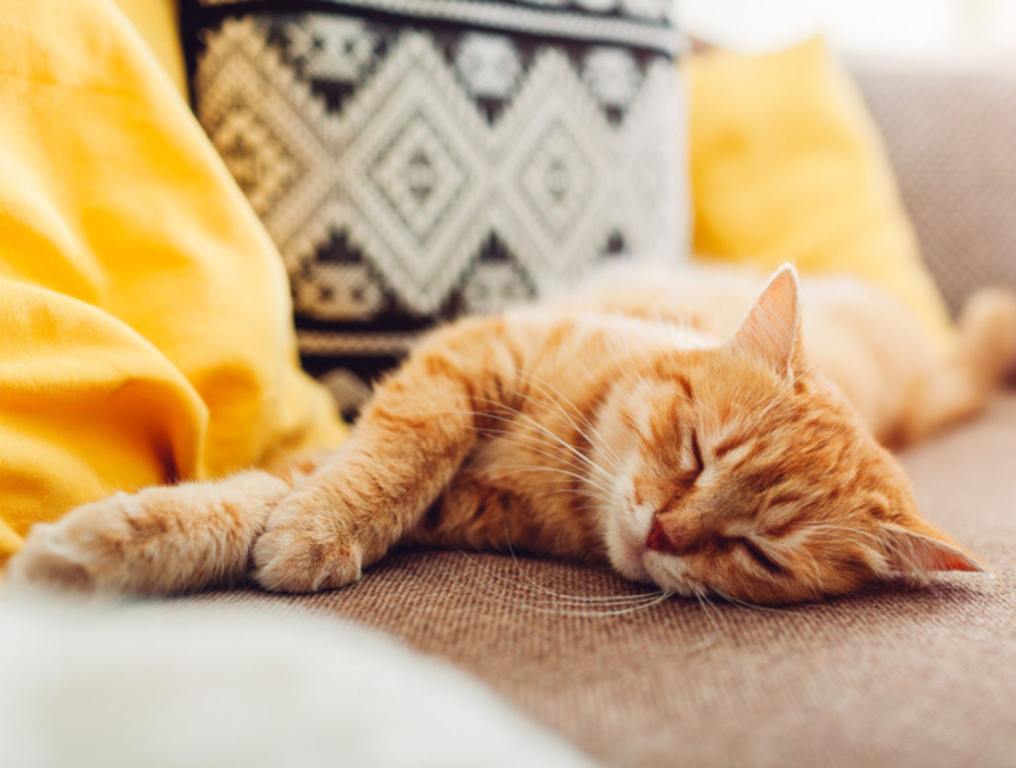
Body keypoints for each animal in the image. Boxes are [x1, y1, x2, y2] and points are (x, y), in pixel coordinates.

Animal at [7, 266, 1016, 601]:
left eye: (756, 553)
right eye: (697, 452)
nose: (664, 531)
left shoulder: (451, 505)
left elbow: (275, 498)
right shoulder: (468, 359)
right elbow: (391, 451)